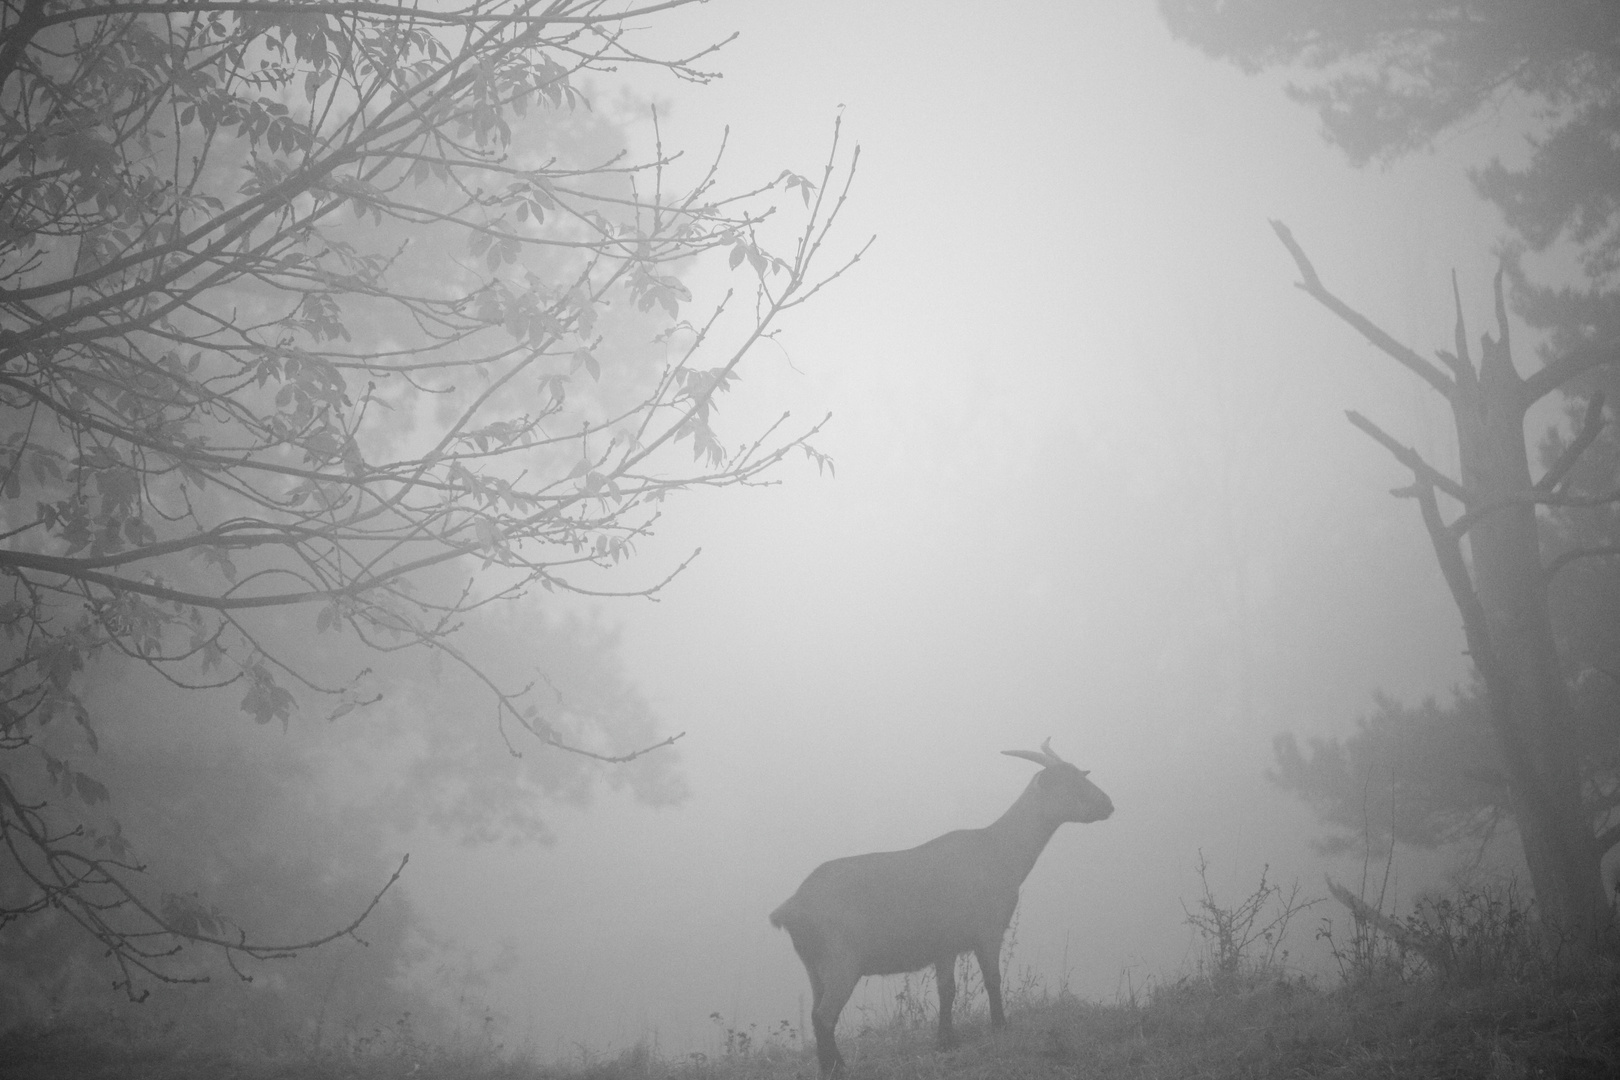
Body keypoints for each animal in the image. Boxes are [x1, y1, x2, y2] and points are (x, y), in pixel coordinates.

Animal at [771, 738, 1114, 1075]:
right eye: (1068, 782)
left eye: (1081, 775)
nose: (1108, 804)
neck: (999, 850)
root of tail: (791, 907)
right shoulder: (987, 932)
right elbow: (993, 980)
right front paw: (1000, 1027)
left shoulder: (945, 946)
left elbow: (947, 989)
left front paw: (946, 1041)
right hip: (840, 963)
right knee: (824, 1016)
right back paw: (838, 1068)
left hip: (814, 967)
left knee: (815, 1013)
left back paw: (831, 1065)